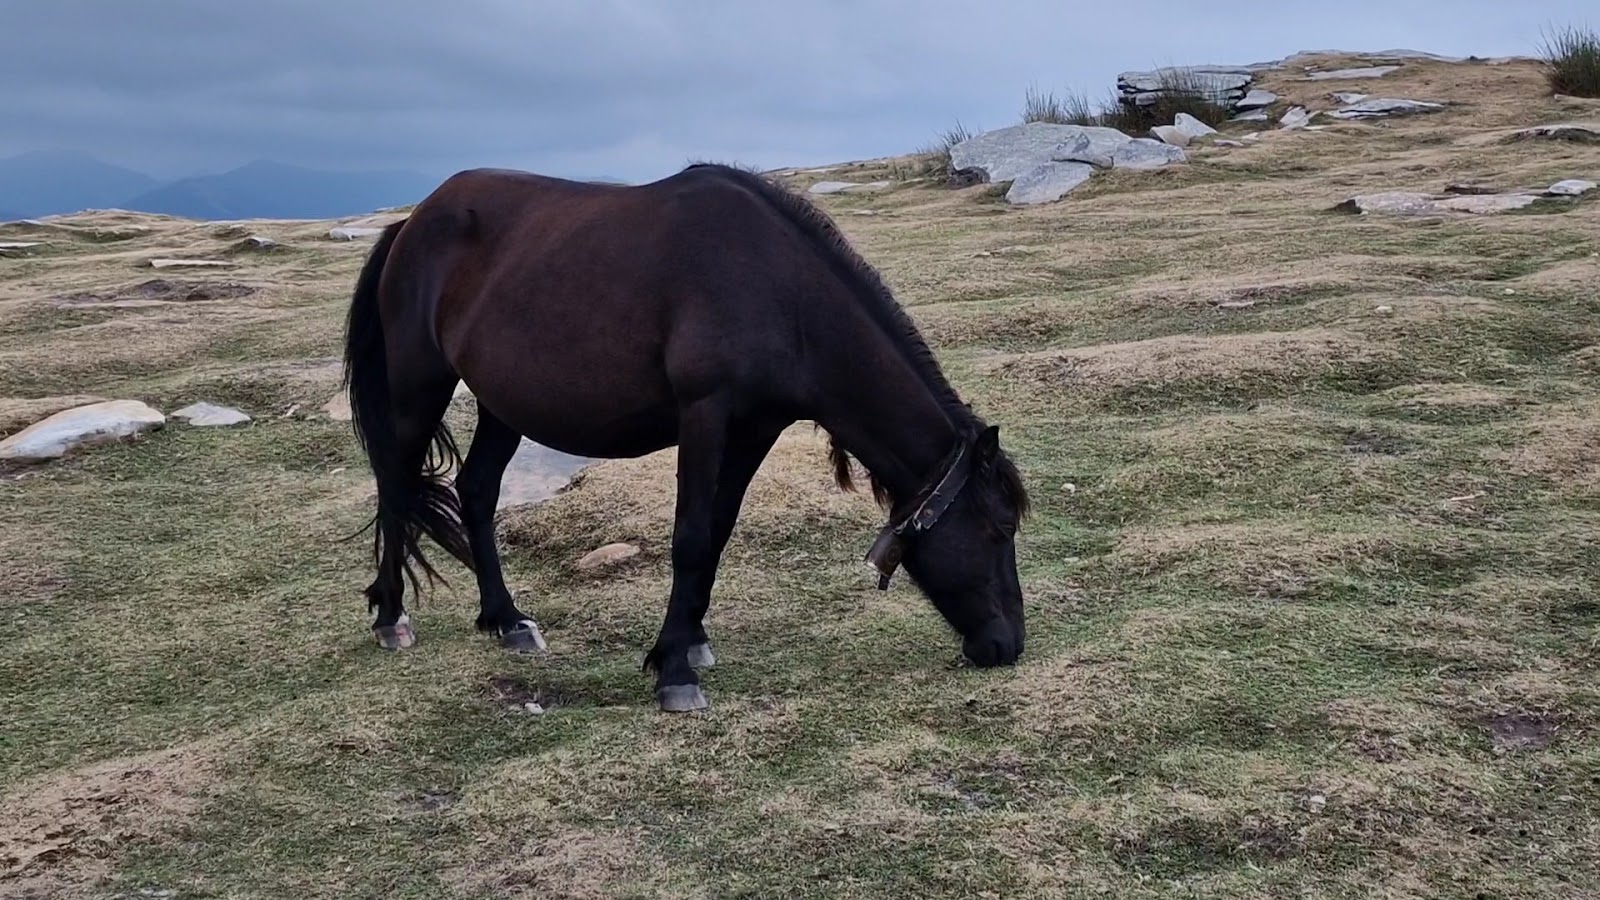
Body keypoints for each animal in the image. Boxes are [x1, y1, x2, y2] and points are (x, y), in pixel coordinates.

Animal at [342, 159, 1030, 707]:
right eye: (1000, 529)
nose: (1008, 646)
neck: (779, 292)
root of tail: (413, 222)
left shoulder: (755, 428)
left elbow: (718, 533)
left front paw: (692, 640)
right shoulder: (705, 415)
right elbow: (692, 537)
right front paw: (674, 669)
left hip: (500, 405)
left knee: (478, 492)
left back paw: (506, 620)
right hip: (419, 388)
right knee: (395, 487)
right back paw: (391, 615)